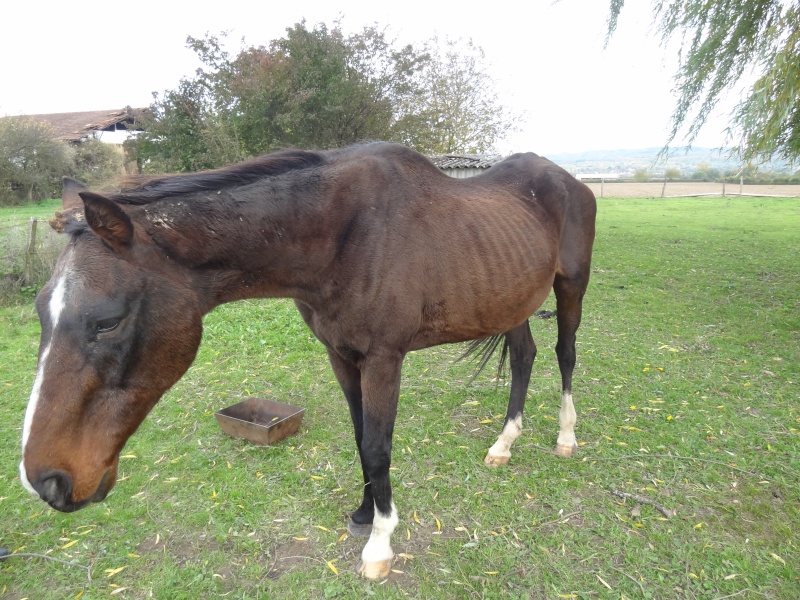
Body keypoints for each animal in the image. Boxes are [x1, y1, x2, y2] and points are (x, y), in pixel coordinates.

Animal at [20, 142, 592, 580]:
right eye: (41, 310)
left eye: (107, 321)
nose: (45, 482)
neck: (347, 235)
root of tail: (570, 181)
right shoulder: (341, 355)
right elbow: (361, 437)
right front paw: (364, 512)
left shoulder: (384, 358)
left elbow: (378, 446)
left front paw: (380, 544)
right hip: (511, 299)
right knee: (524, 358)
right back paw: (504, 444)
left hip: (569, 288)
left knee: (564, 356)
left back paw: (565, 437)